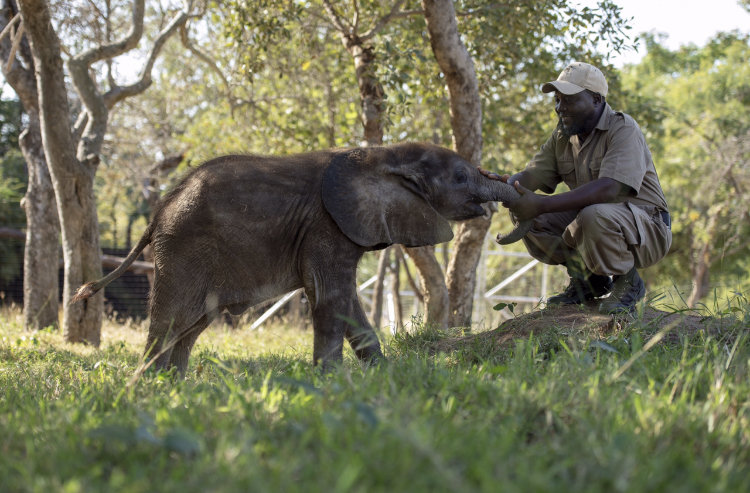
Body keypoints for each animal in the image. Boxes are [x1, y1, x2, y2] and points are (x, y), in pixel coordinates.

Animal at [72, 142, 531, 374]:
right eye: (460, 177)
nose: (509, 189)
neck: (382, 154)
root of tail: (158, 212)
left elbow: (347, 304)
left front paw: (381, 376)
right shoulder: (328, 225)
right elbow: (331, 297)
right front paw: (331, 383)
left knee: (193, 323)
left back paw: (173, 385)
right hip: (184, 248)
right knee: (172, 319)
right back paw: (147, 385)